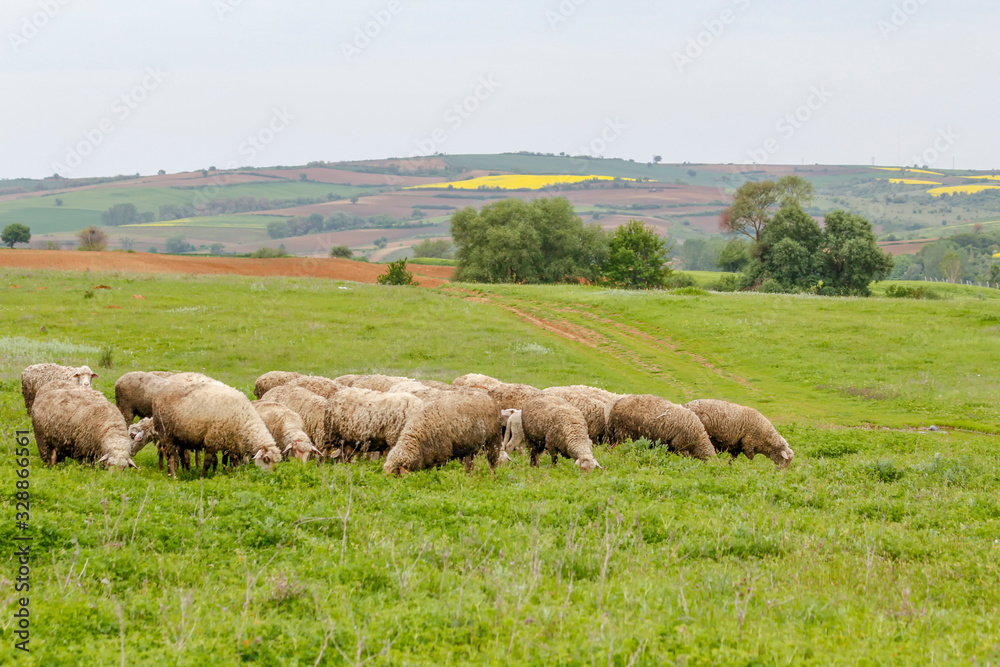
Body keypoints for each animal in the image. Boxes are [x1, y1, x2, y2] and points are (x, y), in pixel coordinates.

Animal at [153, 374, 281, 476]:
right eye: (266, 459)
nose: (269, 476)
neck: (244, 418)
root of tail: (162, 391)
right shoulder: (212, 441)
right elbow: (208, 462)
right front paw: (202, 476)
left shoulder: (231, 444)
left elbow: (227, 462)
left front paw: (226, 473)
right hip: (166, 433)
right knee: (170, 455)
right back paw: (173, 475)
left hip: (180, 436)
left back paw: (180, 472)